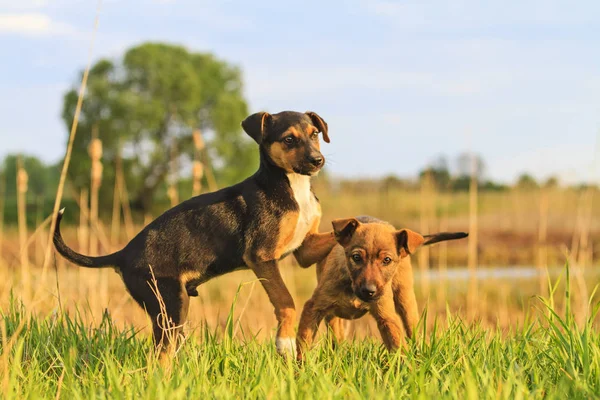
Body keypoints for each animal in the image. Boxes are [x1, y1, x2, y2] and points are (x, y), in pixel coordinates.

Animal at [54, 109, 340, 356]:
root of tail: (122, 254)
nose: (318, 161)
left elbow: (337, 233)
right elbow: (285, 300)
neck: (292, 186)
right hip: (169, 306)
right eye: (289, 139)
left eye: (315, 133)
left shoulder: (305, 248)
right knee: (159, 357)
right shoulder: (261, 256)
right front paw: (285, 342)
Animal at [296, 216, 468, 360]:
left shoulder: (387, 317)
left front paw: (406, 370)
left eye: (387, 260)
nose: (369, 291)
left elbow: (398, 346)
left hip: (406, 300)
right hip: (332, 315)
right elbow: (303, 343)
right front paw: (302, 370)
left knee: (412, 329)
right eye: (356, 257)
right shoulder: (314, 307)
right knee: (335, 334)